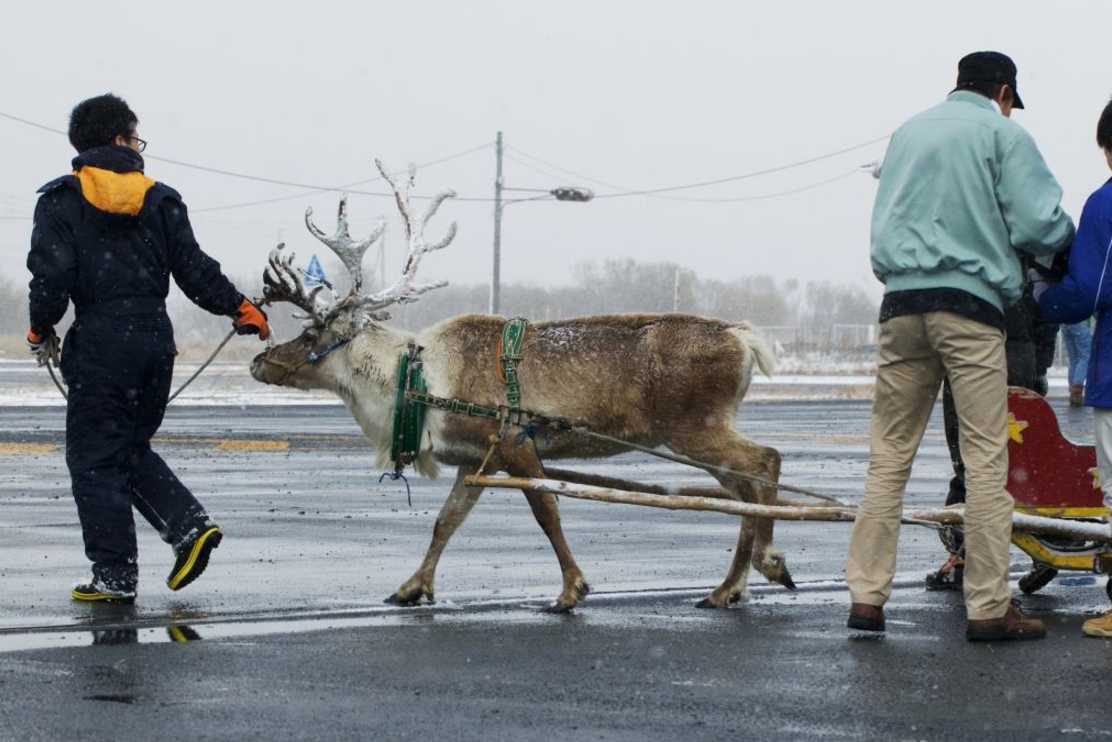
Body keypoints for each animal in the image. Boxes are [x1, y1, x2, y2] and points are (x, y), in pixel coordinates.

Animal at [250, 160, 790, 613]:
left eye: (310, 333)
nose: (260, 360)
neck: (418, 377)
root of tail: (743, 337)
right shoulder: (475, 459)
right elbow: (446, 520)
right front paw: (411, 587)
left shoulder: (513, 441)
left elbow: (546, 509)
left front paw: (571, 590)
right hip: (694, 435)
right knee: (742, 488)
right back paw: (729, 587)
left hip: (693, 427)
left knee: (765, 460)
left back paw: (764, 563)